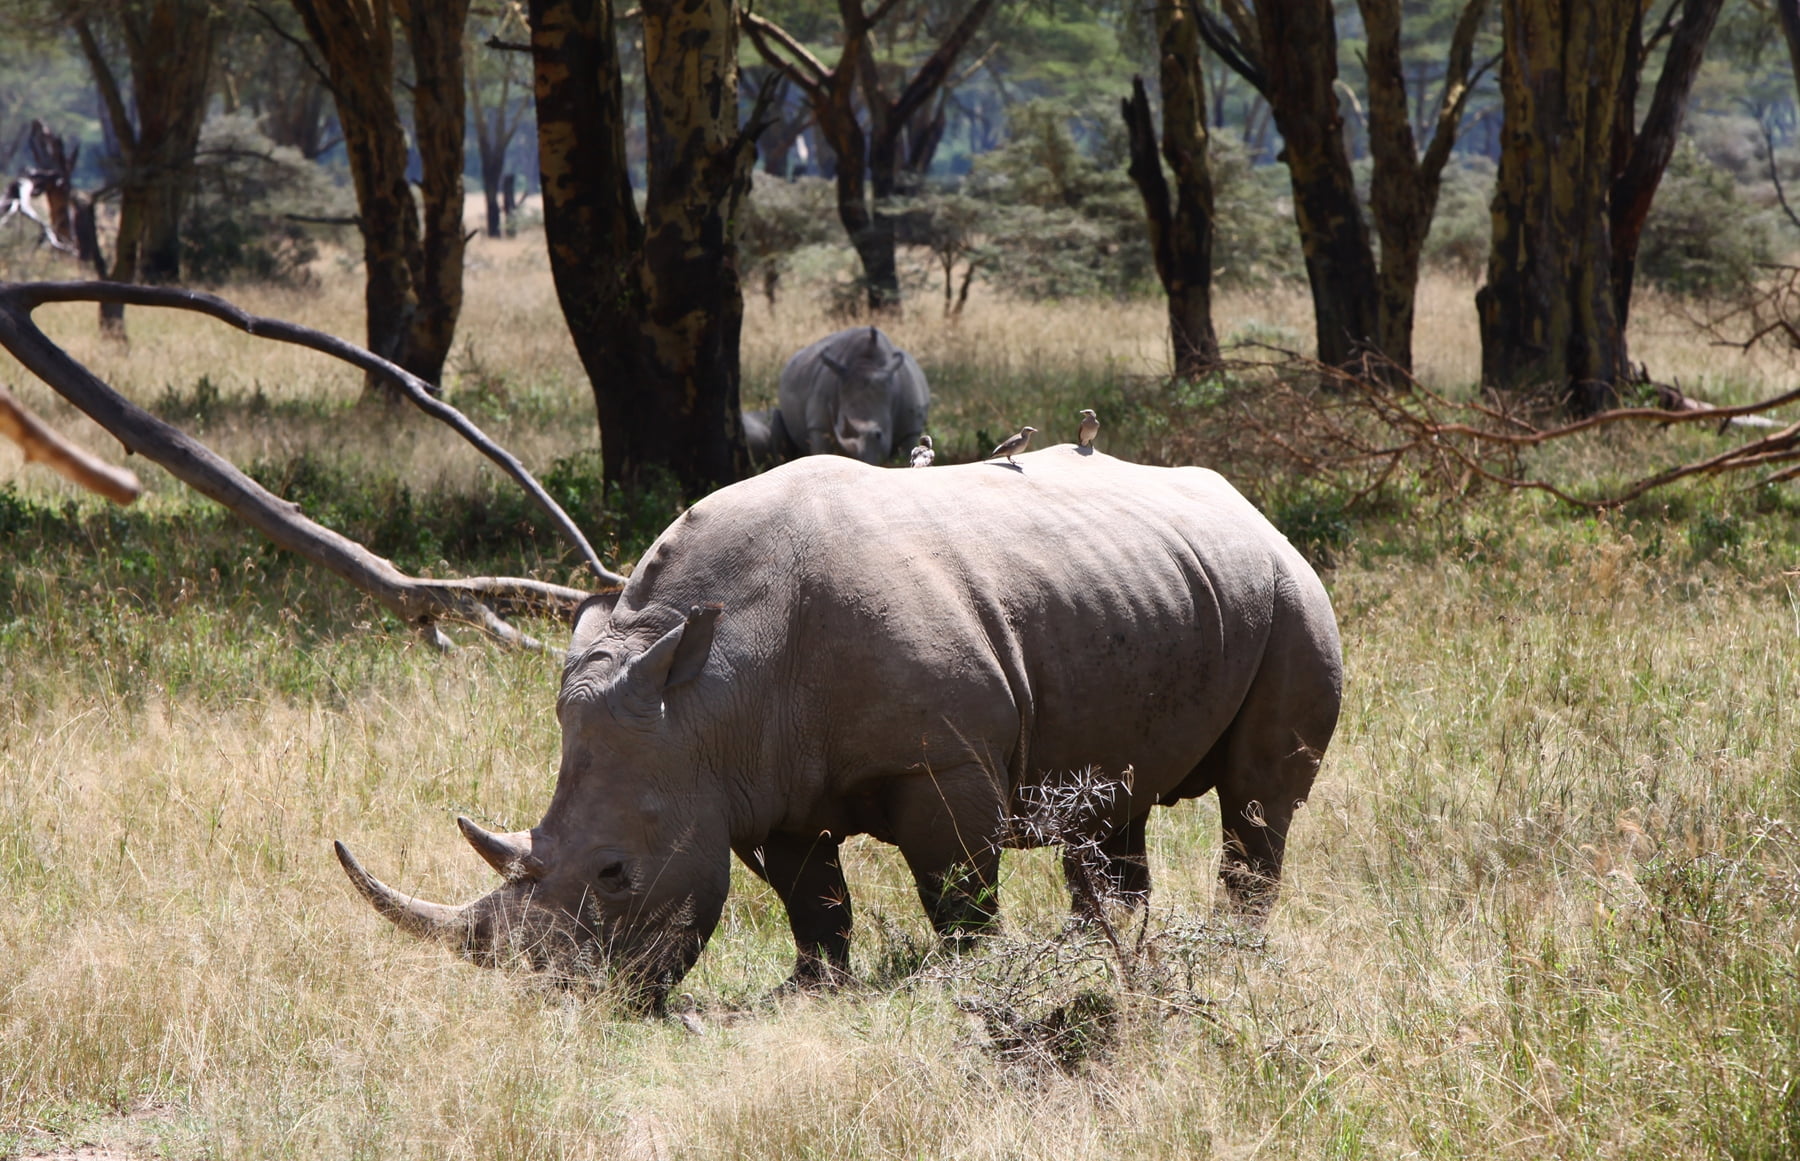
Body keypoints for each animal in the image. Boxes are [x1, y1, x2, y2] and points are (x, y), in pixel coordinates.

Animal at [335, 448, 1343, 1002]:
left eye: (615, 874)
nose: (559, 1004)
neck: (705, 693)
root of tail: (1250, 505)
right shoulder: (750, 782)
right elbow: (811, 896)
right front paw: (811, 987)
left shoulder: (940, 765)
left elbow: (957, 887)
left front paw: (970, 977)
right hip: (1148, 584)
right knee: (1116, 800)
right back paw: (1105, 951)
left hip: (1291, 591)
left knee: (1258, 798)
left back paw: (1232, 950)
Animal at [774, 325, 929, 463]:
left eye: (878, 435)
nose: (857, 459)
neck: (867, 364)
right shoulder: (818, 426)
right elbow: (820, 451)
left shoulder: (910, 430)